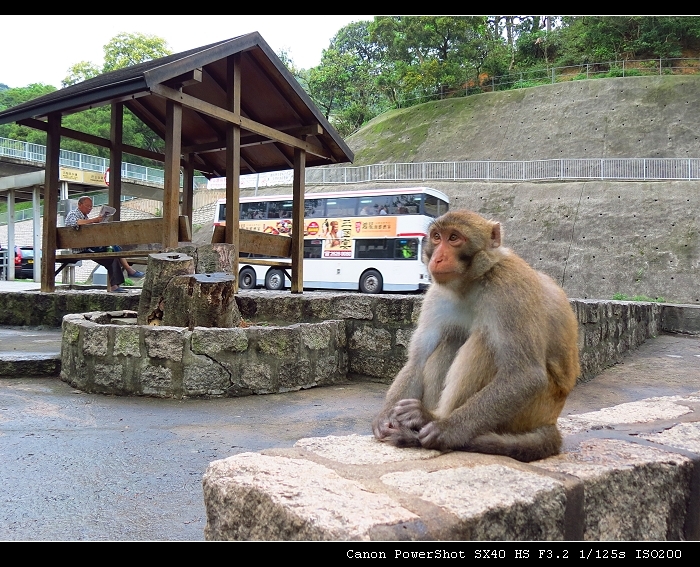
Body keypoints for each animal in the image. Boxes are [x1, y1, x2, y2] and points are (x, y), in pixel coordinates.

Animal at [372, 209, 580, 462]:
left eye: (454, 238)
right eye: (437, 237)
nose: (437, 258)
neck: (471, 283)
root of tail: (551, 420)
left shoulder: (508, 287)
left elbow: (526, 374)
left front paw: (446, 429)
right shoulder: (436, 296)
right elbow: (417, 361)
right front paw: (385, 418)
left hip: (532, 410)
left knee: (485, 341)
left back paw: (431, 419)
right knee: (451, 338)